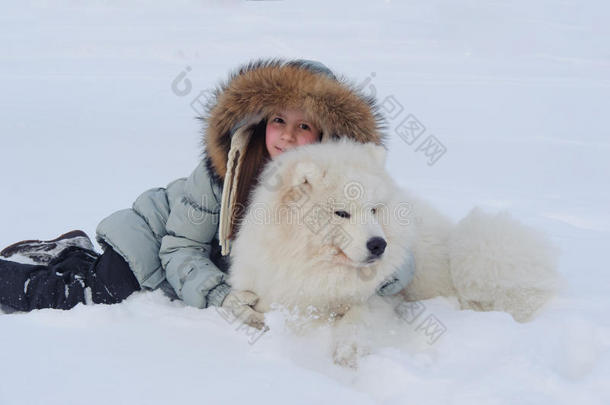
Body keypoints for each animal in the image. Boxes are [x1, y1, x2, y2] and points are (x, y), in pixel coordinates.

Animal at [227, 140, 556, 364]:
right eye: (341, 213)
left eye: (374, 209)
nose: (378, 244)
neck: (320, 268)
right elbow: (239, 305)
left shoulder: (381, 297)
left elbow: (357, 319)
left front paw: (349, 352)